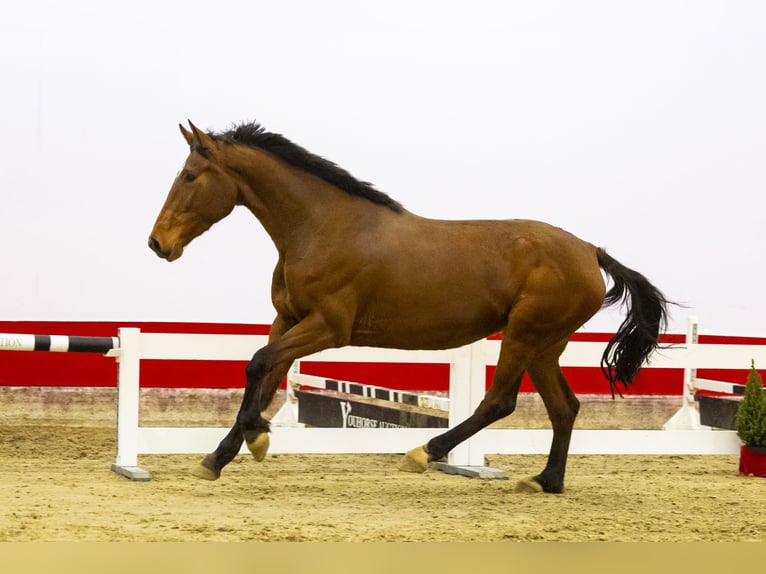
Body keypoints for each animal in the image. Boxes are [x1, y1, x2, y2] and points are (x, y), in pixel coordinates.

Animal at [147, 120, 668, 496]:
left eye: (190, 176)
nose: (157, 244)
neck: (322, 228)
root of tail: (590, 251)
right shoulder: (288, 320)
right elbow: (265, 373)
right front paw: (223, 455)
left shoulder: (328, 327)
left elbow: (258, 364)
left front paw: (255, 437)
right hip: (545, 344)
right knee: (564, 407)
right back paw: (546, 482)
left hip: (524, 335)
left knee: (499, 401)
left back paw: (424, 452)